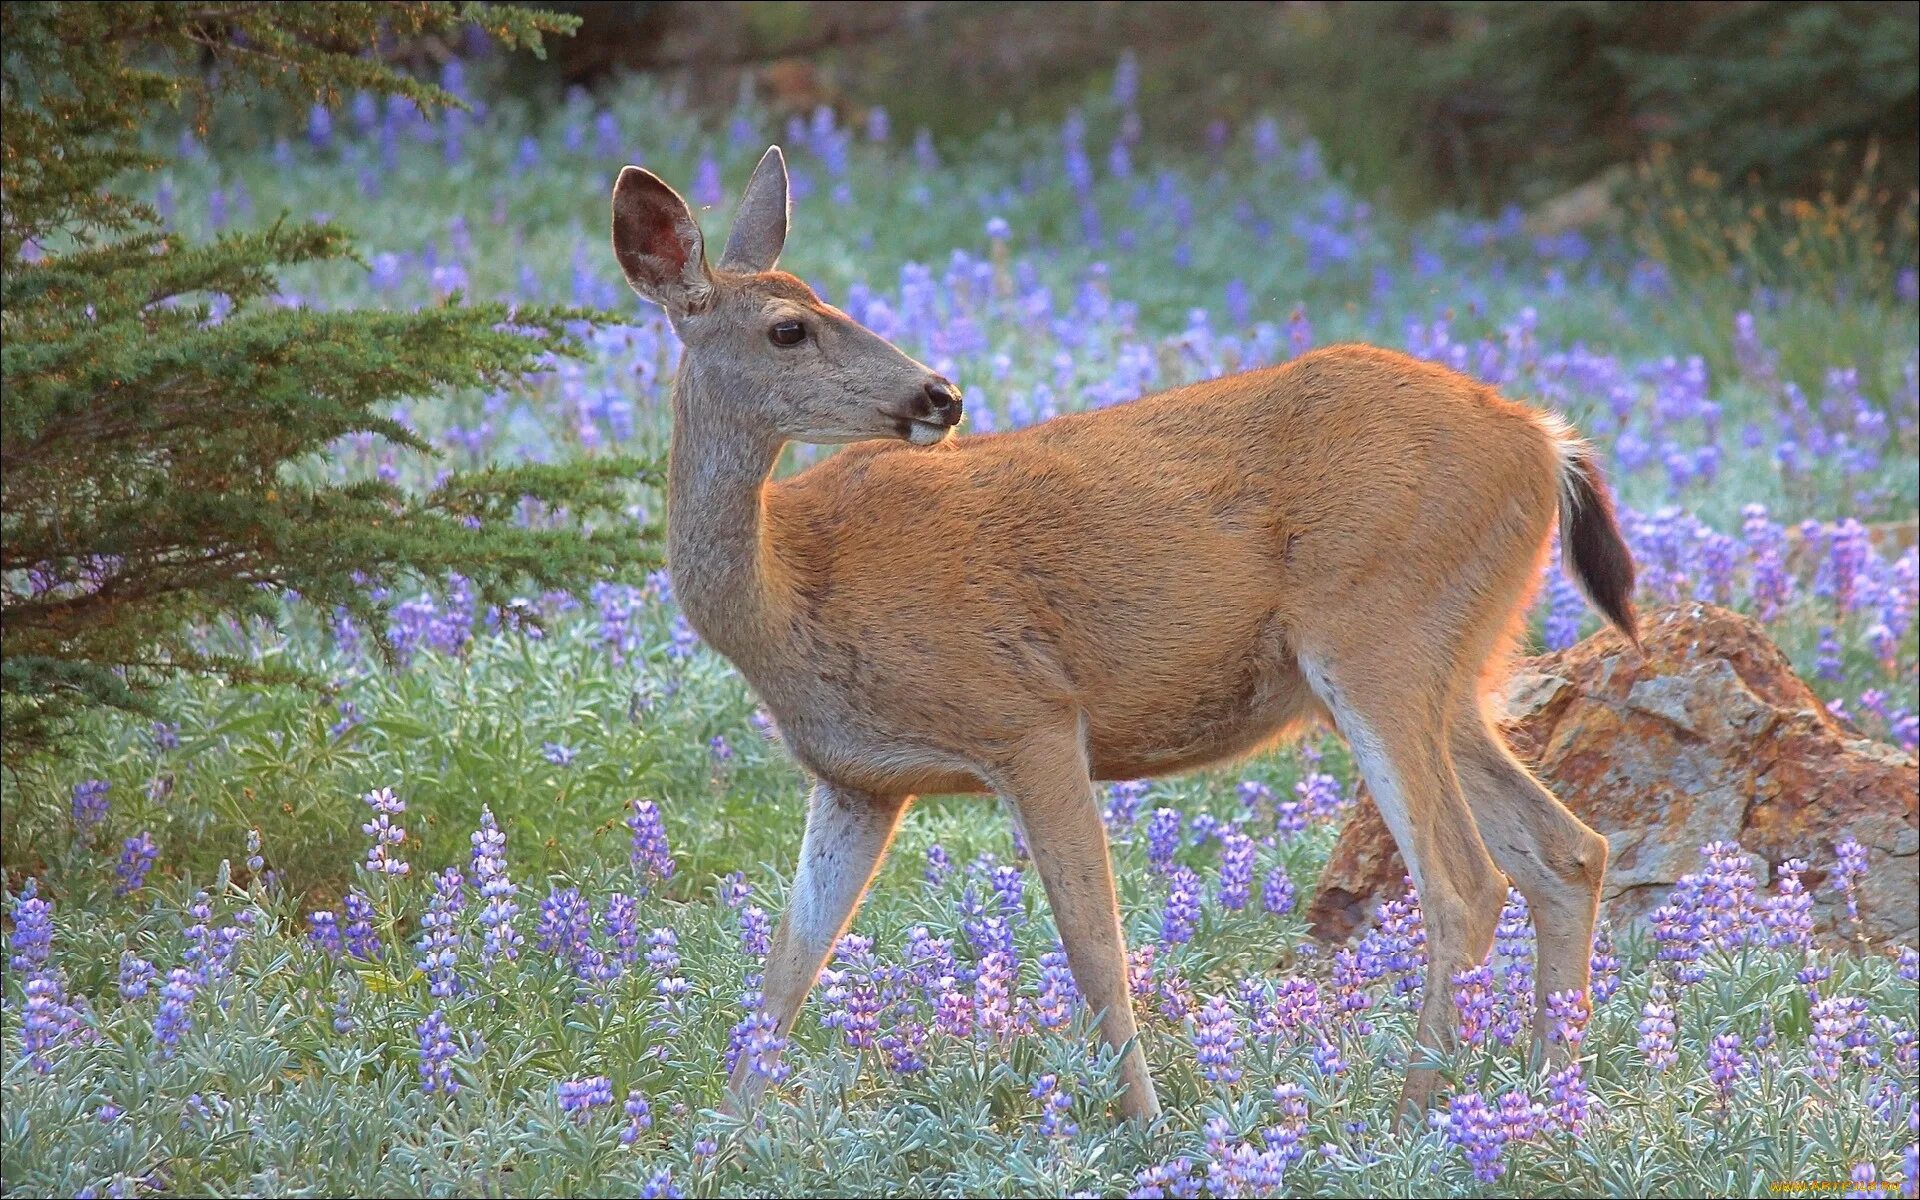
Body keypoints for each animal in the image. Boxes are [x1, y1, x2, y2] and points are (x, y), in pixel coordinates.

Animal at [610, 144, 1635, 1128]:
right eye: (790, 326)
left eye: (821, 306)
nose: (940, 394)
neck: (787, 595)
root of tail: (1545, 439)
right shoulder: (857, 780)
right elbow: (786, 972)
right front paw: (719, 1145)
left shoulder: (1028, 714)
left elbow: (1094, 947)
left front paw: (1143, 1130)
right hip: (1451, 666)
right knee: (1569, 851)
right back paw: (1548, 1095)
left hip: (1379, 637)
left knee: (1464, 882)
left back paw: (1418, 1116)